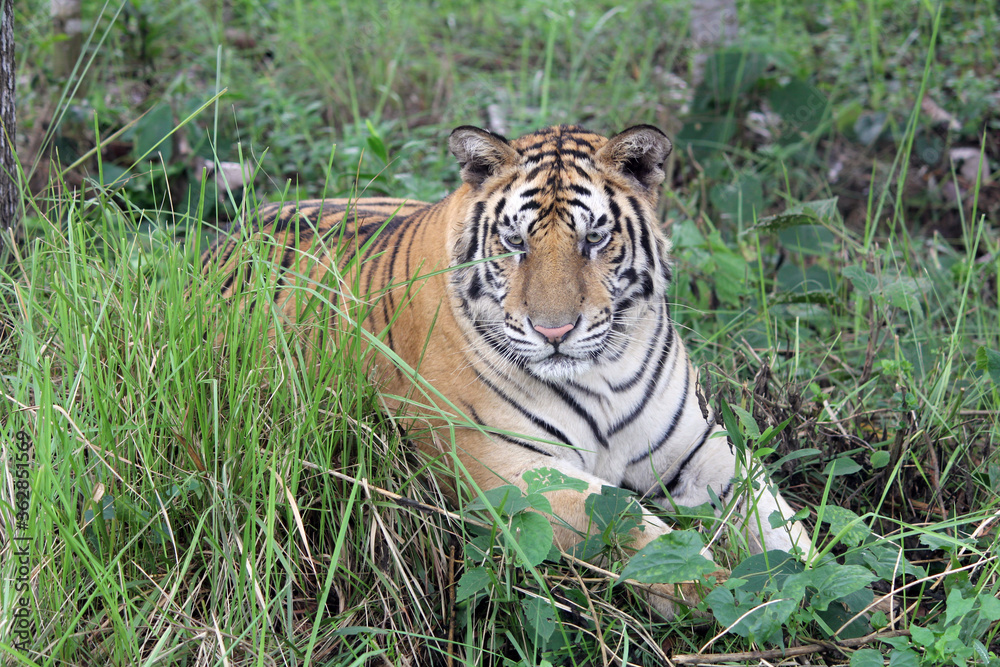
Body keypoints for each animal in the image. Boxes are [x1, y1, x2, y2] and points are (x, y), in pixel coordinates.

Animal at [201, 124, 810, 618]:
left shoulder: (700, 447)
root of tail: (233, 228)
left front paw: (817, 589)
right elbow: (628, 524)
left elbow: (777, 519)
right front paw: (715, 591)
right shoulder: (504, 467)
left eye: (594, 238)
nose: (554, 331)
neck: (602, 373)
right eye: (515, 241)